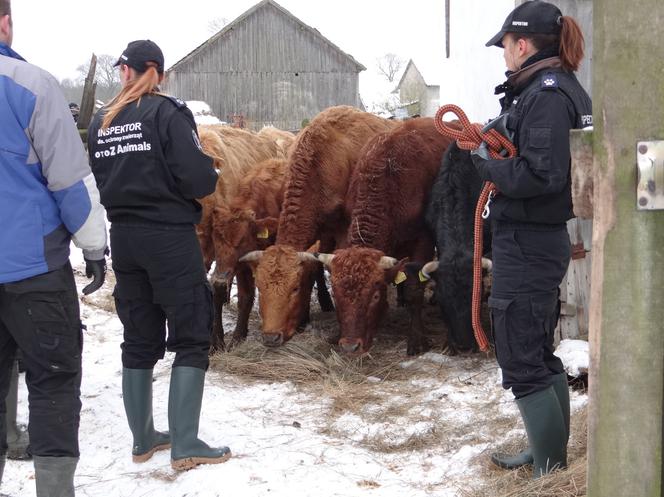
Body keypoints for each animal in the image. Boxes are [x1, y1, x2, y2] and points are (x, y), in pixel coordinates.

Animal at [316, 117, 456, 354]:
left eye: (375, 296)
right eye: (335, 294)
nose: (350, 346)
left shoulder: (423, 240)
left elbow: (414, 289)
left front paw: (417, 339)